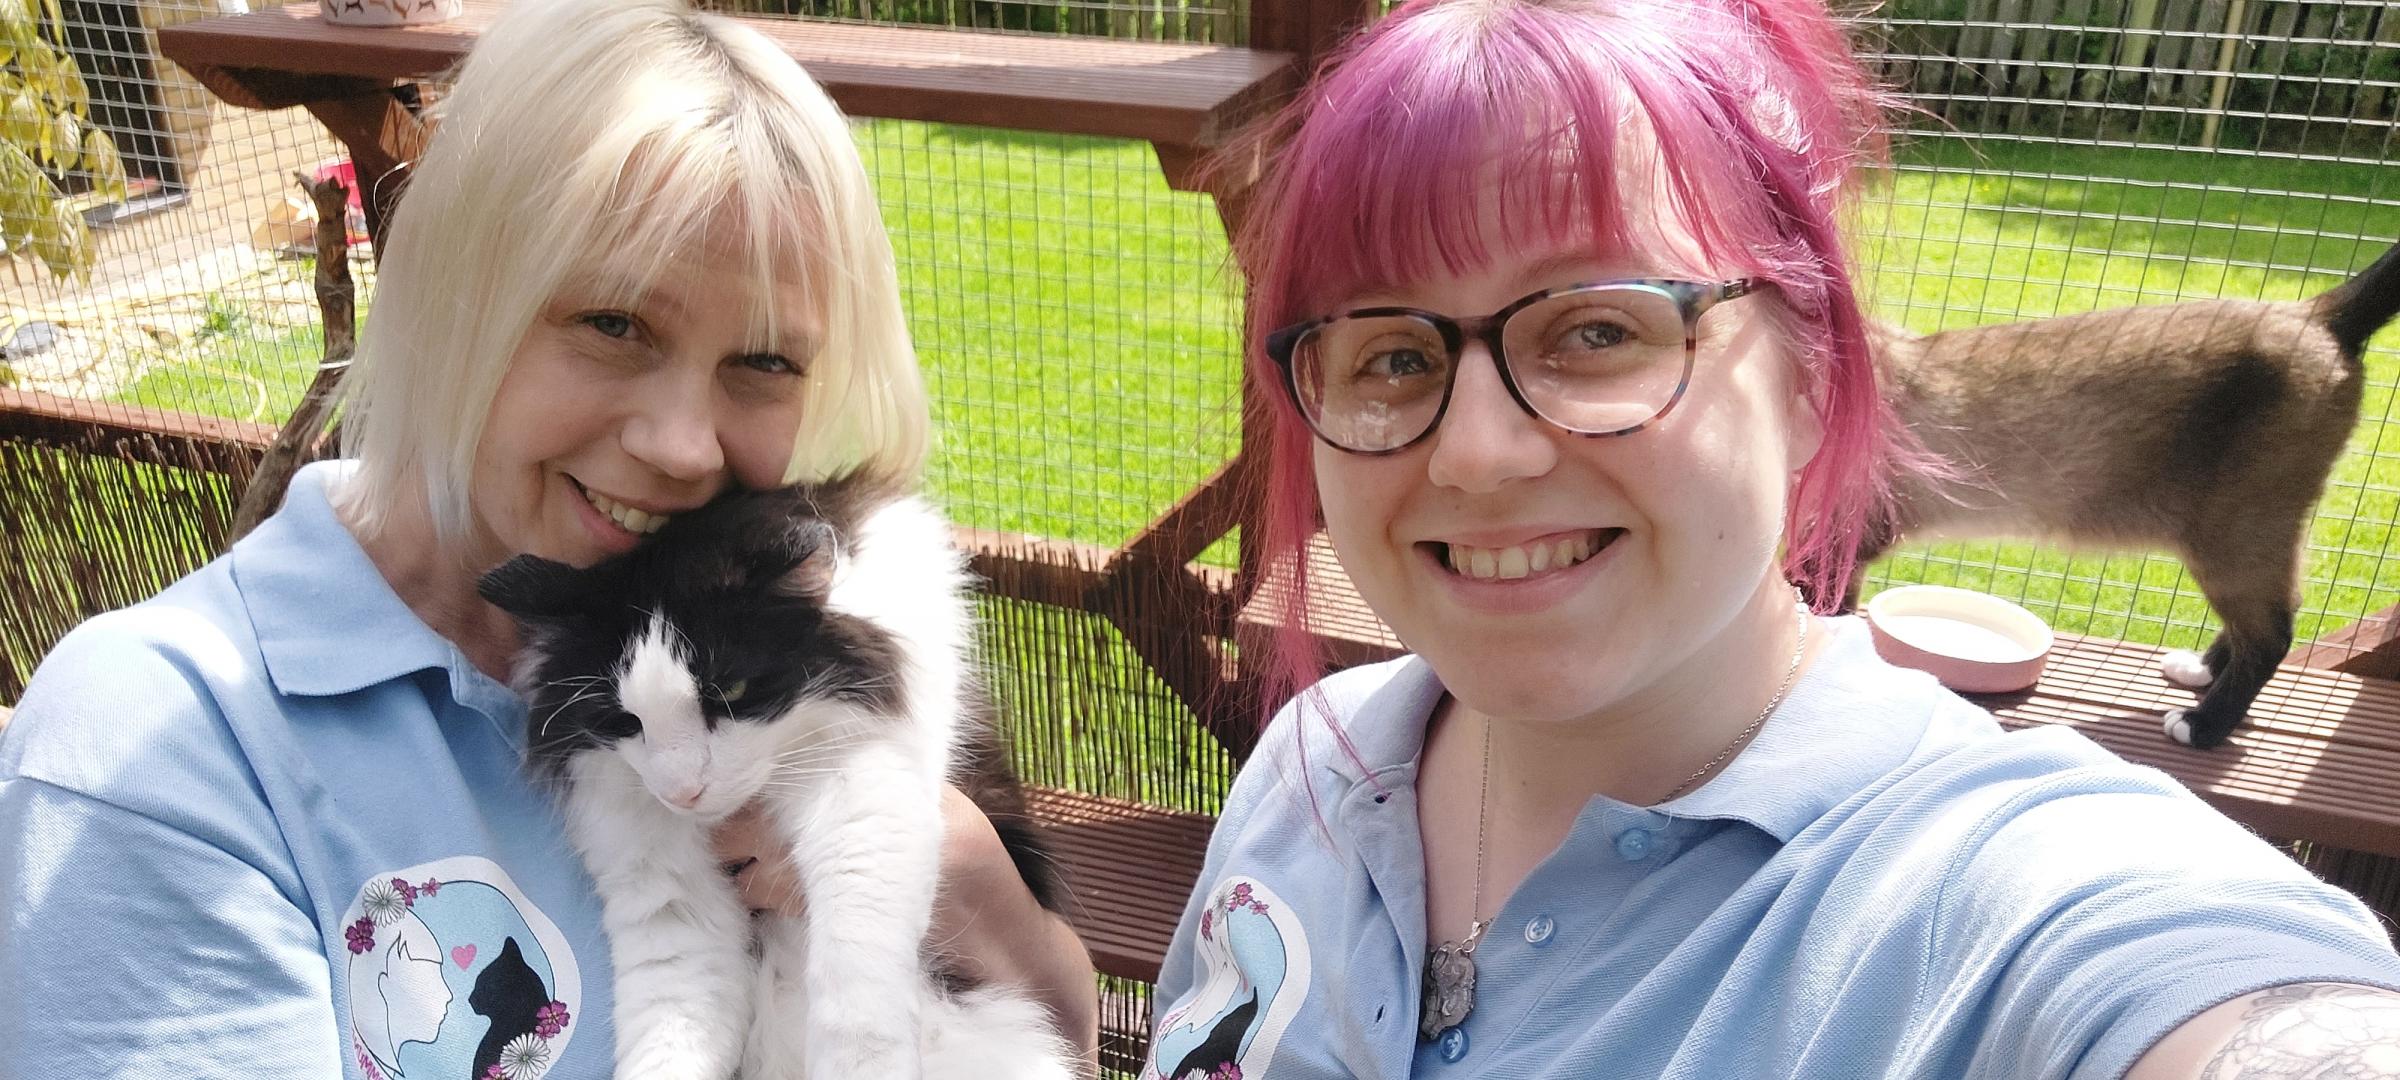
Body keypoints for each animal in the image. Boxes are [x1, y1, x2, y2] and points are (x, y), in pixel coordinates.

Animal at [475, 475, 1070, 1080]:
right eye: (624, 720)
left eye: (732, 693)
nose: (683, 792)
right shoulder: (668, 899)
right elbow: (670, 1027)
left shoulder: (864, 788)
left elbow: (856, 977)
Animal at [1852, 240, 2400, 748]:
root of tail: (2312, 314)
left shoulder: (1850, 543)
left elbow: (1838, 614)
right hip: (2249, 535)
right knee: (2278, 611)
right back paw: (2198, 672)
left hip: (2231, 533)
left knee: (2272, 634)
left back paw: (2202, 726)